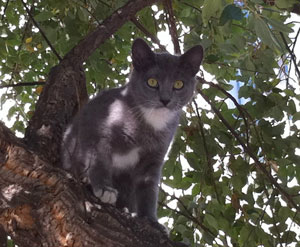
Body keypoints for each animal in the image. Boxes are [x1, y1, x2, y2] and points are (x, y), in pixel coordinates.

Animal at [62, 38, 204, 224]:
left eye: (178, 84)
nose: (165, 100)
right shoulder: (96, 128)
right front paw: (105, 189)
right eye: (152, 82)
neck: (149, 123)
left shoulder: (155, 156)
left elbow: (148, 188)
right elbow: (99, 159)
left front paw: (151, 221)